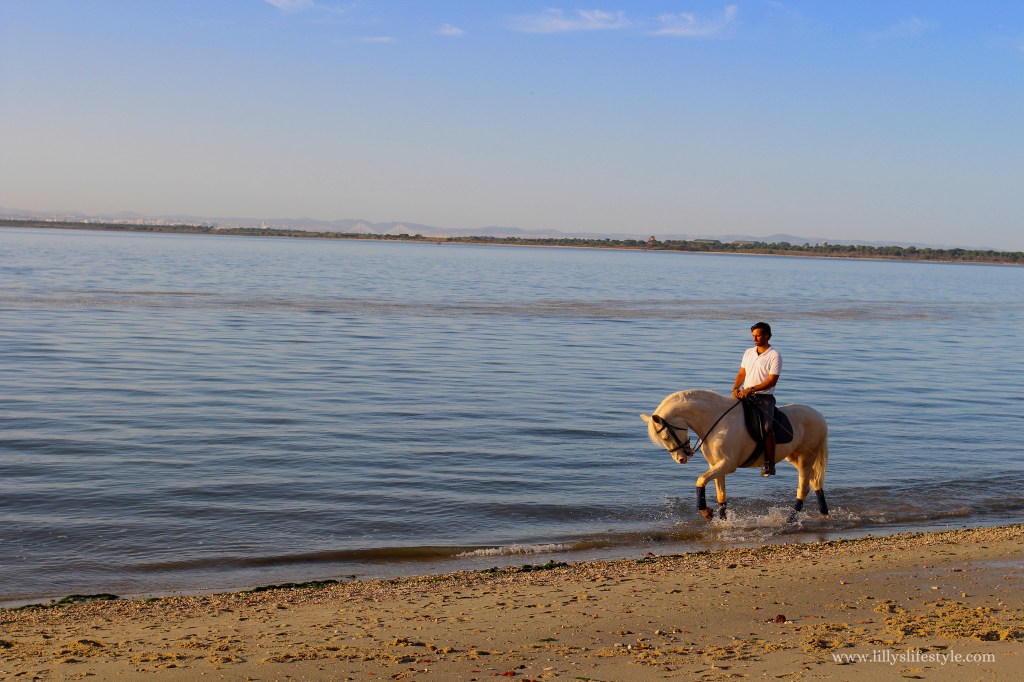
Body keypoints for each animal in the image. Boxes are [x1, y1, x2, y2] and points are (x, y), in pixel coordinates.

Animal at [641, 390, 830, 521]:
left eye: (666, 437)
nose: (681, 459)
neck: (716, 421)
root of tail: (819, 416)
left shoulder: (727, 464)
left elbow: (700, 480)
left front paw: (706, 513)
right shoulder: (716, 465)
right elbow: (720, 494)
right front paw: (722, 521)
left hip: (805, 458)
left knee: (804, 488)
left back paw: (790, 519)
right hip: (795, 457)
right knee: (815, 482)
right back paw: (824, 513)